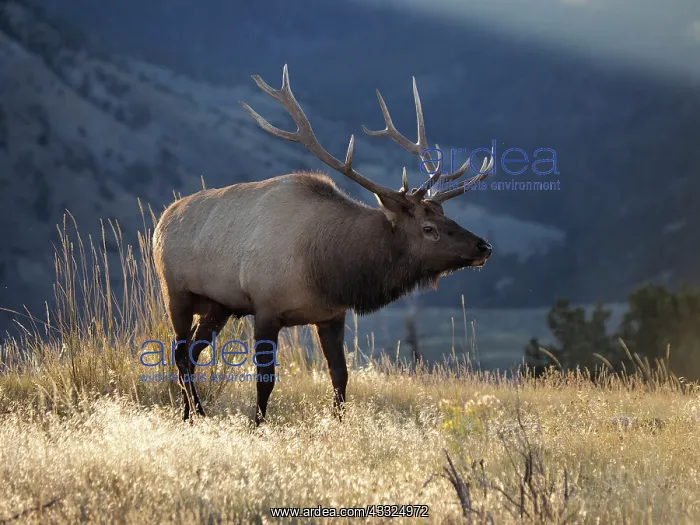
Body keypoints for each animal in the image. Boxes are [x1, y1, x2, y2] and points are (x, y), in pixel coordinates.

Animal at [152, 64, 494, 424]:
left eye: (445, 215)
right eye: (428, 228)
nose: (483, 247)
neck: (329, 267)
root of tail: (162, 219)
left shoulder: (331, 314)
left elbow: (340, 375)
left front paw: (339, 423)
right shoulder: (265, 307)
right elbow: (265, 379)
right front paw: (258, 424)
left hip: (218, 305)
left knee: (191, 352)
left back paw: (190, 414)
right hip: (175, 292)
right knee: (180, 353)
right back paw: (196, 413)